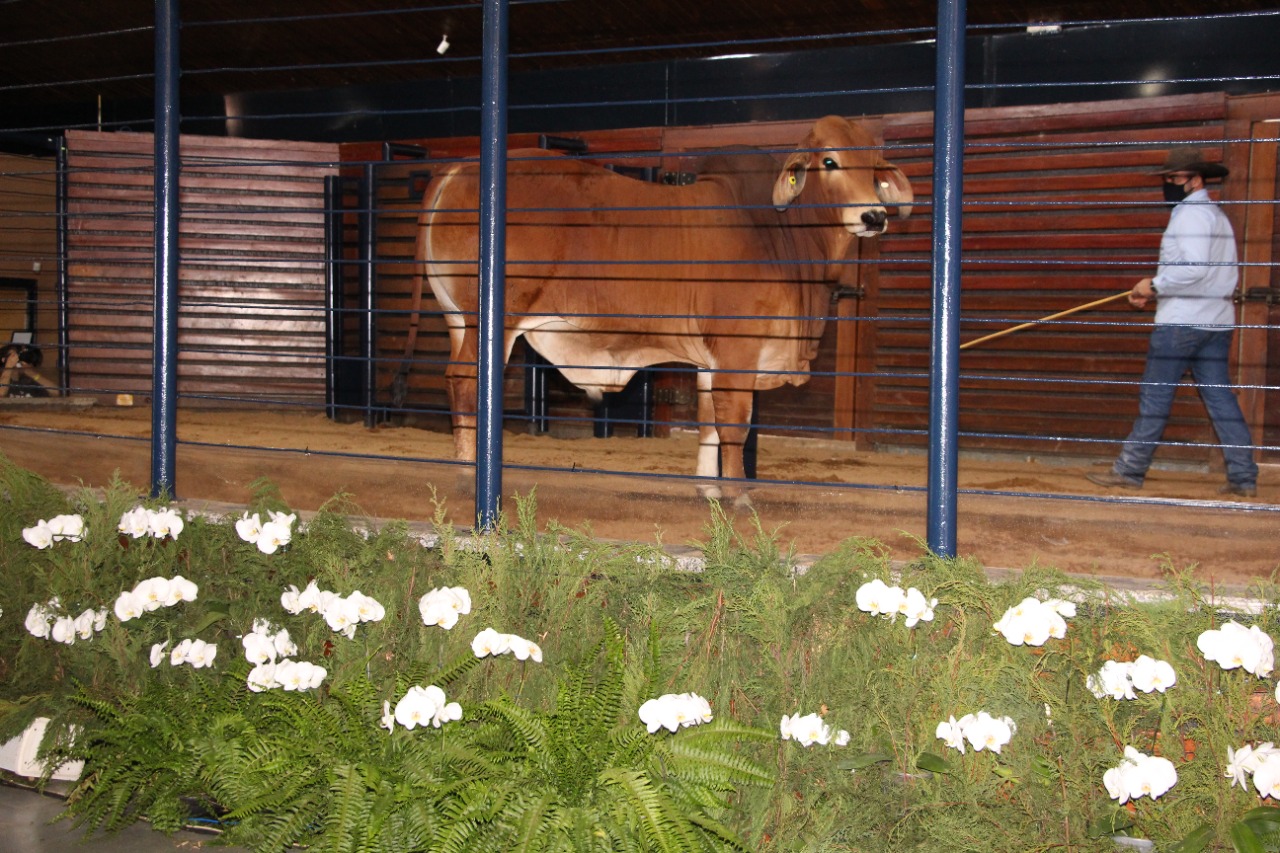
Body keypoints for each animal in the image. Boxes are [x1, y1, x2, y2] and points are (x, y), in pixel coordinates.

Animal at [417, 117, 911, 504]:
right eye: (829, 161)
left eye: (876, 166)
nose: (874, 216)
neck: (780, 233)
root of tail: (460, 167)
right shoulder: (738, 353)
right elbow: (735, 428)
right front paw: (738, 495)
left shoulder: (710, 361)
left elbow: (708, 426)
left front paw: (708, 491)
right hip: (492, 322)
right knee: (465, 384)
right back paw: (467, 474)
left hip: (457, 319)